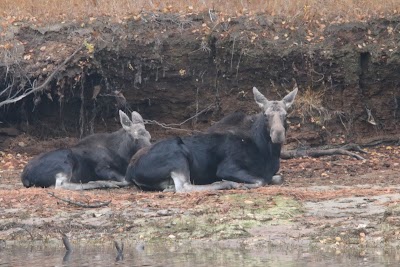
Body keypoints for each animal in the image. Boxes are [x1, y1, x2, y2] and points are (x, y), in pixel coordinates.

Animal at [21, 111, 150, 191]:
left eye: (149, 136)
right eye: (135, 138)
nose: (147, 150)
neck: (122, 156)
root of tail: (25, 177)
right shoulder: (101, 168)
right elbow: (125, 180)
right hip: (65, 162)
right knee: (61, 185)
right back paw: (101, 183)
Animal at [126, 87, 298, 194]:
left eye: (286, 115)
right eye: (265, 115)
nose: (278, 134)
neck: (266, 152)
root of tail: (130, 170)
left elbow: (277, 178)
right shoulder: (227, 167)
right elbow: (261, 180)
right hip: (176, 155)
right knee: (184, 187)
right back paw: (225, 183)